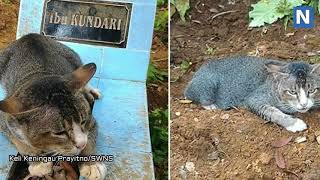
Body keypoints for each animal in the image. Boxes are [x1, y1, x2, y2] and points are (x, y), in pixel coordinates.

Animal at [0, 33, 106, 179]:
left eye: (83, 121)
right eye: (59, 133)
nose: (81, 144)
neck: (39, 75)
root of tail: (30, 36)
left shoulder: (91, 121)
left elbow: (90, 137)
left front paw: (91, 163)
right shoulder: (6, 118)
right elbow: (19, 142)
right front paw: (38, 163)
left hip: (73, 56)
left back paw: (90, 91)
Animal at [184, 55, 320, 133]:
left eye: (312, 90)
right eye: (292, 92)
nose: (304, 104)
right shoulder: (255, 98)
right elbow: (274, 112)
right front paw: (294, 123)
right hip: (207, 84)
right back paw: (211, 106)